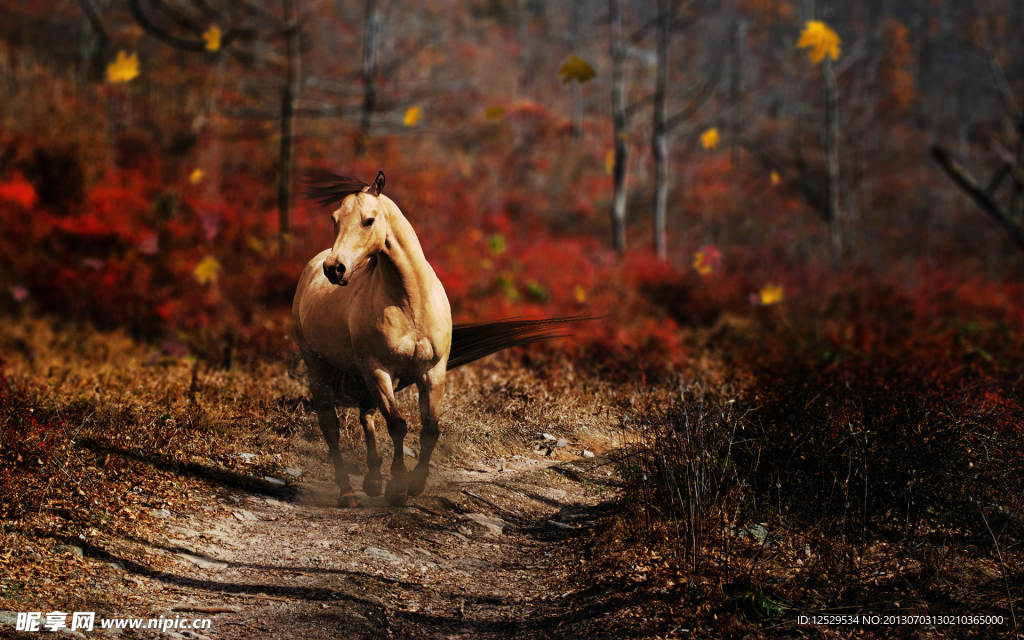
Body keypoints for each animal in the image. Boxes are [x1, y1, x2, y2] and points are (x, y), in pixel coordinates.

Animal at [296, 171, 585, 509]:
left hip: (366, 373)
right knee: (331, 425)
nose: (334, 268)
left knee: (366, 414)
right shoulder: (379, 369)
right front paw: (398, 488)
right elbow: (398, 425)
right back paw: (348, 493)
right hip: (322, 365)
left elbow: (430, 429)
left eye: (368, 220)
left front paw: (415, 484)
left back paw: (373, 481)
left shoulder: (432, 370)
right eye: (334, 219)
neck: (410, 301)